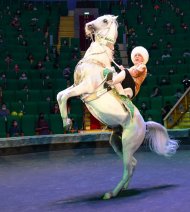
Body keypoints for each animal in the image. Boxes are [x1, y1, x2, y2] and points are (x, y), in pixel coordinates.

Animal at [56, 15, 178, 200]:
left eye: (105, 20)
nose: (88, 25)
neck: (97, 61)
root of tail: (145, 125)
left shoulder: (85, 86)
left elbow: (64, 97)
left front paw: (67, 123)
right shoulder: (76, 86)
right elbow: (60, 95)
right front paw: (67, 120)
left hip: (128, 144)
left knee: (128, 168)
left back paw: (111, 193)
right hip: (116, 142)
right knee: (132, 164)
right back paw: (123, 189)